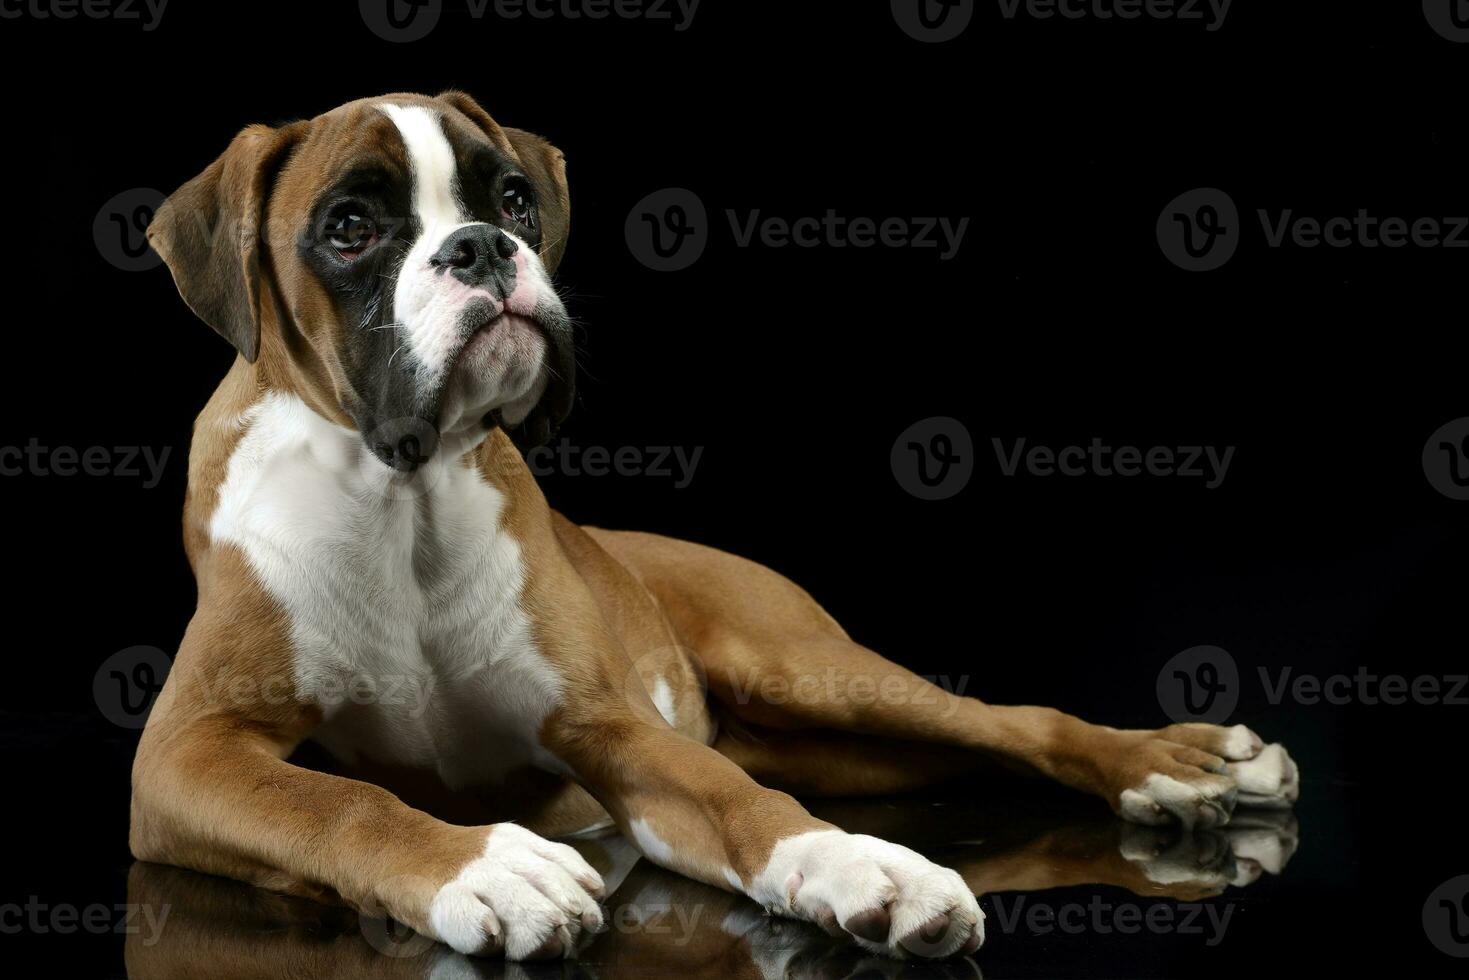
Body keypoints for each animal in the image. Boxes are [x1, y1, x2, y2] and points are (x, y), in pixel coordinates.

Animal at [132, 88, 1292, 963]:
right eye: (350, 227)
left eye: (512, 197)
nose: (482, 246)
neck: (401, 493)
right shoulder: (189, 756)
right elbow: (338, 801)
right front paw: (487, 863)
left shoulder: (607, 728)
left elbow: (736, 800)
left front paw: (861, 864)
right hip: (842, 742)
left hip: (812, 671)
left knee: (1010, 724)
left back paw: (1180, 765)